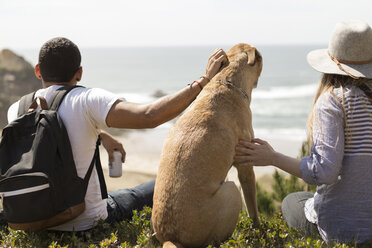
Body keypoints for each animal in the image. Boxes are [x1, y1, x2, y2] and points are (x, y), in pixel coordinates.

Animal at [153, 43, 264, 247]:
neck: (227, 81)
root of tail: (171, 237)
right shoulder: (246, 167)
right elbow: (253, 208)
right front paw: (259, 231)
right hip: (232, 191)